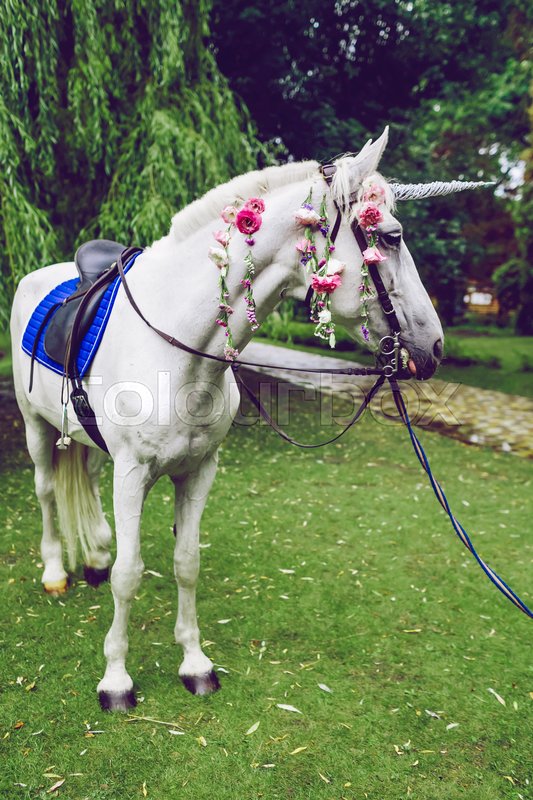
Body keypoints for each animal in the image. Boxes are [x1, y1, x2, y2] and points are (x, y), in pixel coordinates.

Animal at [10, 128, 447, 711]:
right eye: (391, 237)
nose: (434, 346)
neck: (179, 346)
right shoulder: (133, 473)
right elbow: (130, 574)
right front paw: (117, 679)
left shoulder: (199, 471)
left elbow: (186, 563)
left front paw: (195, 664)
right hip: (36, 430)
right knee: (45, 492)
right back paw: (56, 572)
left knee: (88, 482)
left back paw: (95, 555)